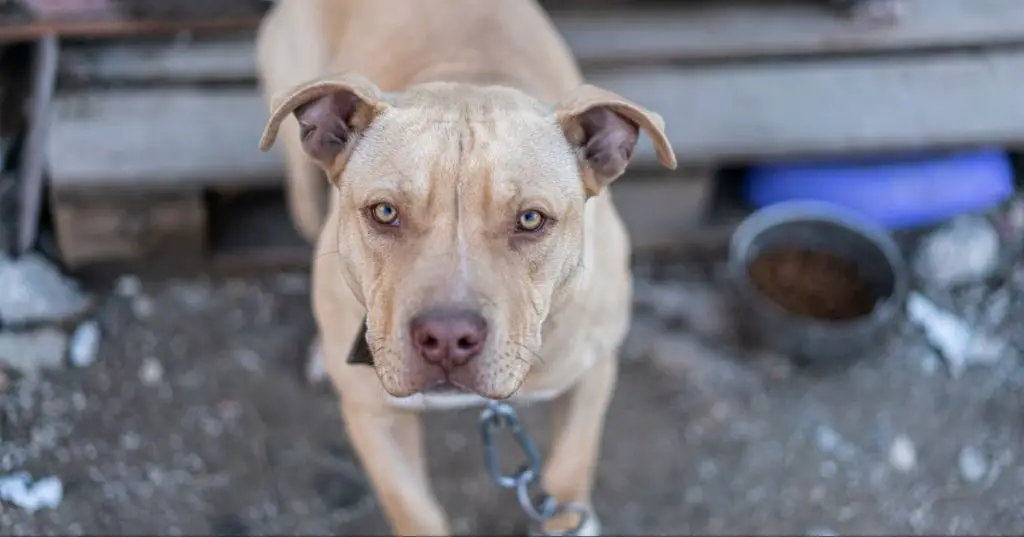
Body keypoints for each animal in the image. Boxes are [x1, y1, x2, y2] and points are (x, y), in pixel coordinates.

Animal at [252, 2, 675, 532]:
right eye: (385, 212)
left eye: (531, 219)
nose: (448, 338)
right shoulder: (373, 414)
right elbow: (413, 511)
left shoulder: (593, 371)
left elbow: (570, 467)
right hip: (303, 190)